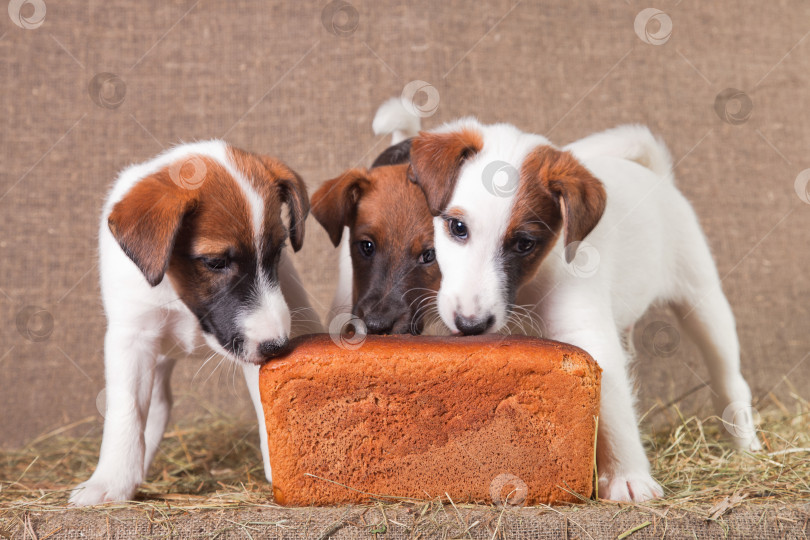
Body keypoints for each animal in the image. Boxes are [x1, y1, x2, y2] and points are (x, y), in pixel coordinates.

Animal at [70, 140, 322, 506]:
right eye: (215, 262)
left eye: (277, 252)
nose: (277, 347)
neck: (179, 296)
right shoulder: (132, 338)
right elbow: (127, 411)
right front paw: (112, 481)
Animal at [408, 122, 760, 502]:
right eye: (457, 228)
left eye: (524, 244)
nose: (470, 324)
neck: (533, 284)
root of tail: (657, 174)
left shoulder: (591, 338)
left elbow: (615, 415)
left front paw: (628, 476)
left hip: (702, 302)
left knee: (730, 379)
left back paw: (746, 445)